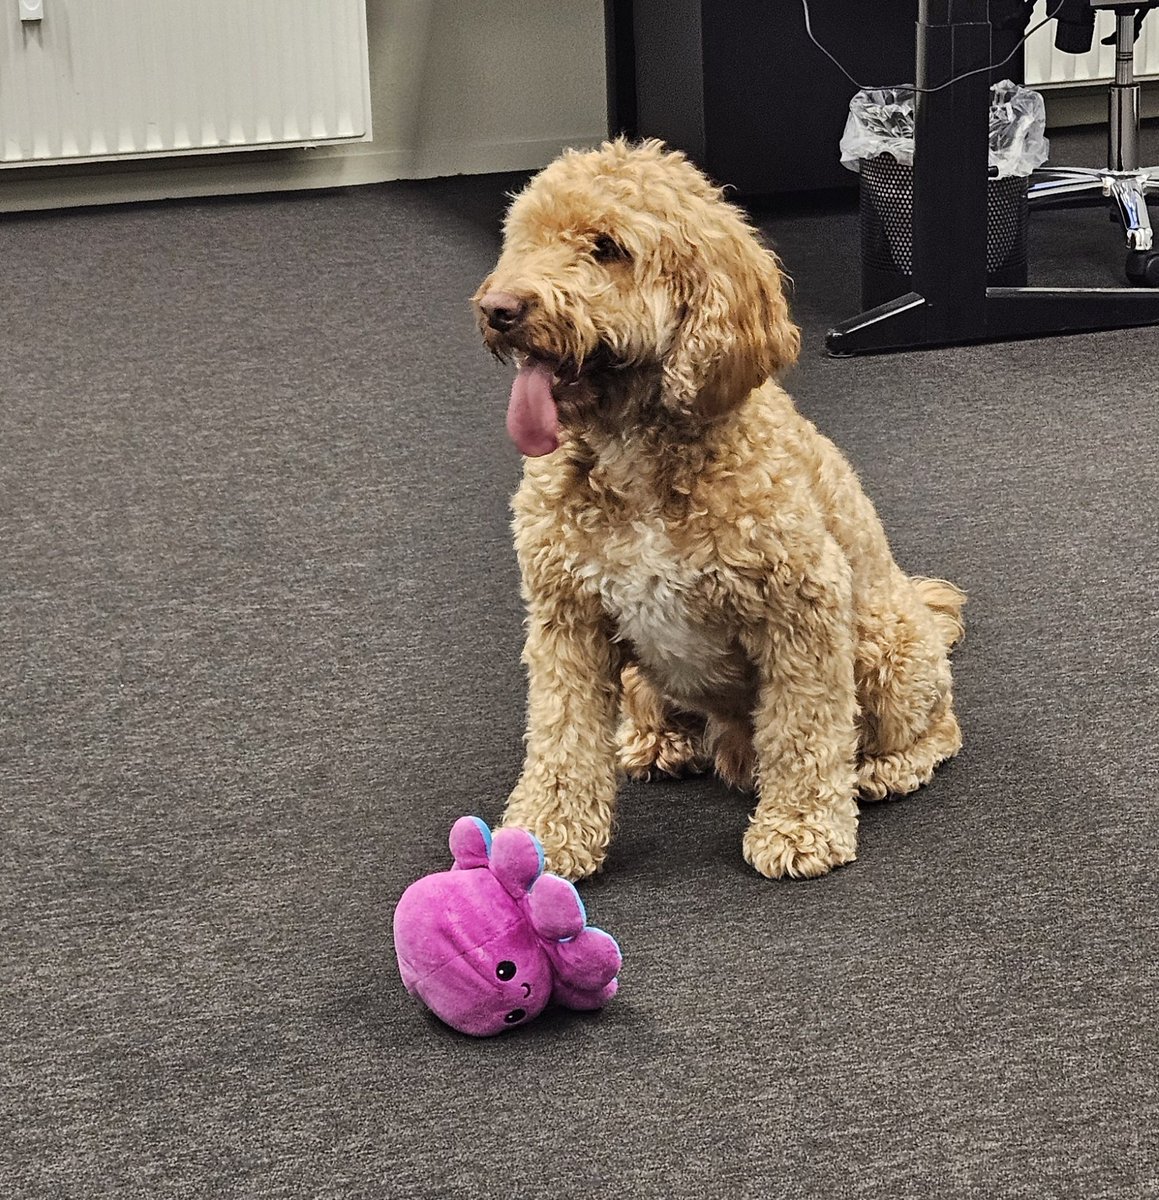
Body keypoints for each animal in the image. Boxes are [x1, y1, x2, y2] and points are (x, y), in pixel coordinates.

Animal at [472, 139, 964, 881]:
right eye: (524, 239)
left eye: (607, 248)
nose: (500, 307)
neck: (634, 454)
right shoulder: (567, 618)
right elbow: (560, 737)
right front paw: (544, 836)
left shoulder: (804, 607)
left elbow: (804, 729)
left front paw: (799, 827)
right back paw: (657, 739)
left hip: (886, 645)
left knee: (937, 727)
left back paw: (883, 766)